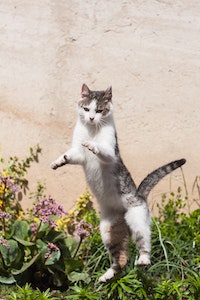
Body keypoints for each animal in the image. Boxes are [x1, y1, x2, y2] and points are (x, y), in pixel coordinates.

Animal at [50, 83, 186, 282]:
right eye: (86, 109)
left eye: (99, 110)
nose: (91, 118)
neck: (92, 130)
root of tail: (140, 195)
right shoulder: (78, 155)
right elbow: (69, 155)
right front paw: (57, 162)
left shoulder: (110, 153)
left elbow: (101, 149)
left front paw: (92, 145)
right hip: (109, 231)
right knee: (121, 259)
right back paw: (106, 277)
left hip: (137, 221)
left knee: (144, 244)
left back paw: (143, 260)